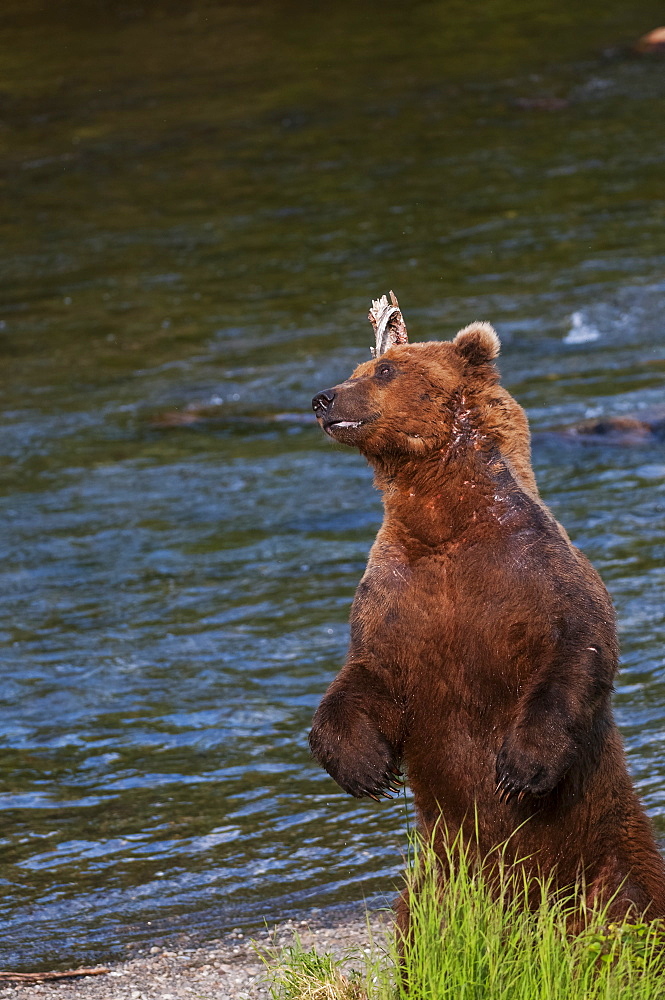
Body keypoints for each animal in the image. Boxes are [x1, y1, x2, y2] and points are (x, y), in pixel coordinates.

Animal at [308, 292, 664, 924]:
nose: (322, 398)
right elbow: (367, 672)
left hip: (612, 849)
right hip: (441, 875)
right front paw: (366, 769)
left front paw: (519, 770)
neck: (446, 519)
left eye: (383, 370)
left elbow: (579, 644)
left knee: (629, 902)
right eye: (358, 369)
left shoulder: (530, 570)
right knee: (421, 917)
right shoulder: (397, 597)